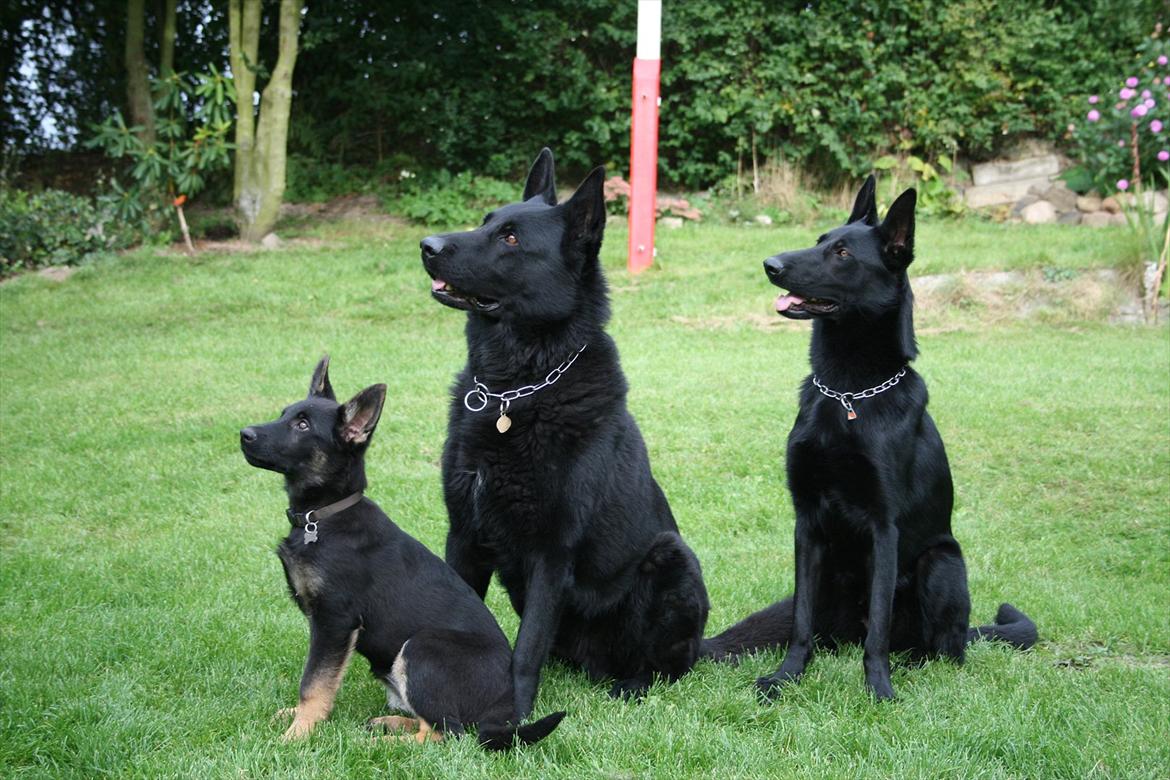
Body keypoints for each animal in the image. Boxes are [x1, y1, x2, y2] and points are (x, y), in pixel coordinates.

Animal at [236, 357, 561, 748]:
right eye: (283, 413)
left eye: (302, 425)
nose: (244, 434)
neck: (323, 515)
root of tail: (502, 712)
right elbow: (317, 679)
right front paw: (296, 718)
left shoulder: (335, 619)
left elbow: (314, 682)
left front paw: (298, 733)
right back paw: (386, 723)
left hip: (421, 646)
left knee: (446, 732)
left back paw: (377, 741)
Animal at [421, 149, 711, 715]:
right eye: (486, 222)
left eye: (511, 239)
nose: (428, 246)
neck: (517, 391)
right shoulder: (463, 535)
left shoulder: (551, 555)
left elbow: (525, 649)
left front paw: (511, 716)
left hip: (673, 558)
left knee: (669, 666)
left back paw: (634, 683)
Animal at [720, 178, 1043, 701]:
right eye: (818, 240)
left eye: (843, 253)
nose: (771, 265)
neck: (848, 394)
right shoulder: (806, 526)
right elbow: (800, 623)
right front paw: (787, 677)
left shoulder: (883, 527)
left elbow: (878, 625)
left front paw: (879, 690)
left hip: (942, 563)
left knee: (942, 648)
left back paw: (915, 662)